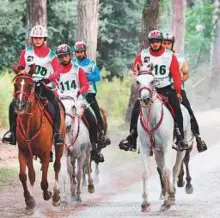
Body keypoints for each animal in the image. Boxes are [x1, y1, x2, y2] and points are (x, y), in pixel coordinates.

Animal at [12, 70, 65, 215]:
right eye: (16, 85)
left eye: (30, 85)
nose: (20, 105)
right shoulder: (23, 152)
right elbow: (23, 176)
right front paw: (29, 202)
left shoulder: (45, 154)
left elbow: (44, 181)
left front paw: (48, 194)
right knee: (32, 174)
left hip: (60, 145)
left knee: (57, 166)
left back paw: (56, 196)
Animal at [138, 71, 192, 211]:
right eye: (137, 81)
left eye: (152, 81)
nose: (145, 98)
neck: (152, 119)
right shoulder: (145, 147)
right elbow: (145, 172)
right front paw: (145, 203)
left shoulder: (167, 145)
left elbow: (168, 170)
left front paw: (169, 199)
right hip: (158, 151)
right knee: (162, 170)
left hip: (181, 147)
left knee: (175, 168)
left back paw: (172, 194)